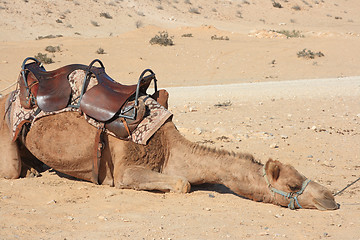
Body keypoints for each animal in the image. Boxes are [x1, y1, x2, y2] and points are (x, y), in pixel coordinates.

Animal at [0, 94, 338, 211]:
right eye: (292, 185)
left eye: (303, 176)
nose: (330, 198)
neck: (169, 149)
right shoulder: (125, 171)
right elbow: (182, 183)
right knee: (11, 170)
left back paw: (37, 170)